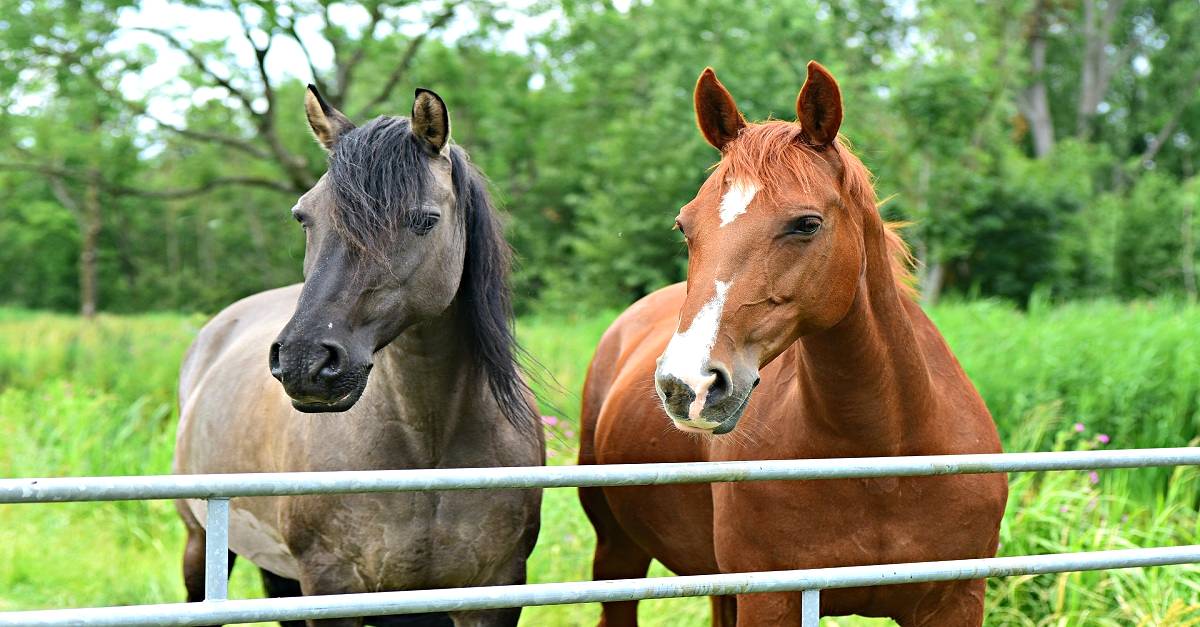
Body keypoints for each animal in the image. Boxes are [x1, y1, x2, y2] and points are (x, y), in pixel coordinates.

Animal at [576, 63, 1008, 624]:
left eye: (806, 224)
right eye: (684, 226)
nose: (686, 385)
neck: (883, 459)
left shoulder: (956, 598)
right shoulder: (772, 598)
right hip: (618, 555)